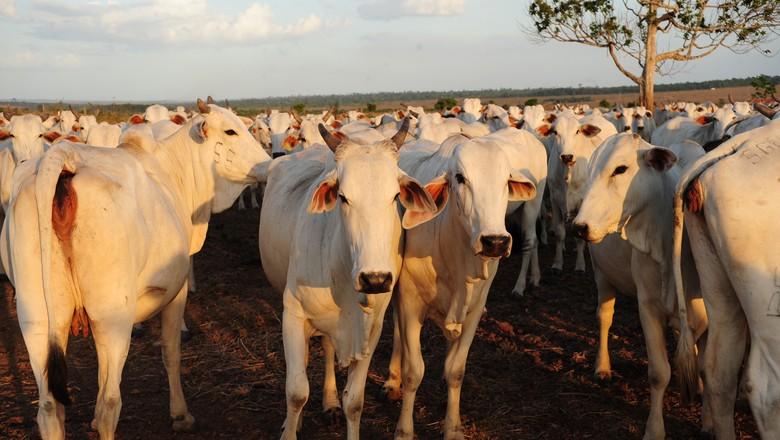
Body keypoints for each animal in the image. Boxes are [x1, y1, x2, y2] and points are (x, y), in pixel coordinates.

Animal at [3, 100, 270, 440]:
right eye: (230, 131)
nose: (268, 164)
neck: (174, 170)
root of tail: (64, 158)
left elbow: (103, 371)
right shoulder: (175, 291)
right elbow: (170, 351)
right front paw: (180, 414)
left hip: (38, 317)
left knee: (50, 407)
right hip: (113, 316)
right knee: (110, 405)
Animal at [258, 118, 436, 438]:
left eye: (395, 196)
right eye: (343, 197)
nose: (375, 279)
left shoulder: (371, 328)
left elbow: (354, 402)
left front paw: (340, 406)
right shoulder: (293, 315)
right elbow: (296, 392)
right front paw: (291, 425)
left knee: (329, 349)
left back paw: (329, 403)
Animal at [380, 132, 540, 438]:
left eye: (506, 180)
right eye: (461, 178)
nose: (495, 242)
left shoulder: (474, 310)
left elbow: (455, 370)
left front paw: (453, 427)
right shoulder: (410, 304)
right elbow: (413, 372)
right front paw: (404, 429)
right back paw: (392, 379)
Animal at [568, 134, 708, 440]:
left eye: (620, 169)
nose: (580, 226)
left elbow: (710, 369)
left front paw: (709, 422)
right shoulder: (648, 307)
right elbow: (658, 373)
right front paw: (654, 429)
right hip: (602, 277)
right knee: (604, 319)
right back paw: (602, 366)